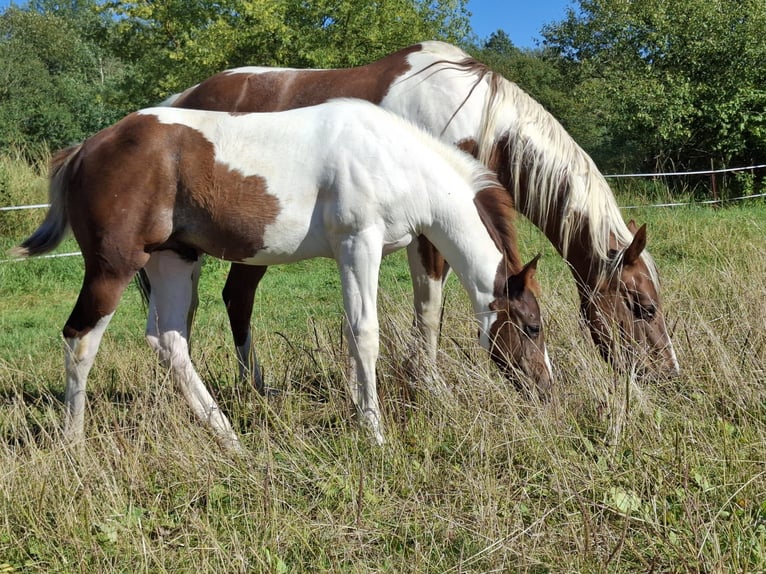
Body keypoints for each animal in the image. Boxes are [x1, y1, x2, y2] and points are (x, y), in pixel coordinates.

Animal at [15, 99, 556, 450]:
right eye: (532, 327)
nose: (546, 390)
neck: (391, 157)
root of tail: (85, 150)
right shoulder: (359, 244)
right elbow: (366, 335)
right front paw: (375, 434)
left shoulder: (354, 255)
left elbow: (350, 332)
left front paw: (360, 414)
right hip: (114, 266)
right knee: (80, 339)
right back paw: (74, 445)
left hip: (174, 259)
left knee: (169, 341)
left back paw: (229, 438)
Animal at [156, 38, 680, 384]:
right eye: (644, 307)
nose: (668, 375)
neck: (472, 117)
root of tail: (181, 98)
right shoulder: (431, 233)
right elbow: (429, 310)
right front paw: (426, 384)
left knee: (230, 299)